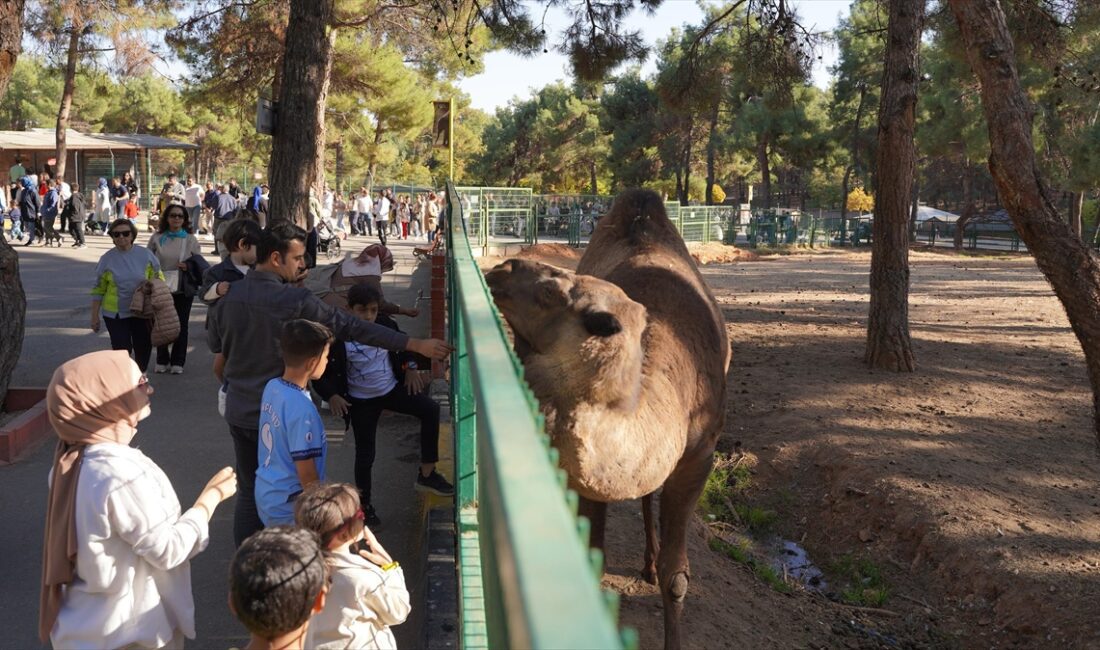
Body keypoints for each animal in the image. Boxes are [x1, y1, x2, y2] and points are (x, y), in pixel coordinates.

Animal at [484, 188, 730, 650]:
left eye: (551, 290)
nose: (502, 268)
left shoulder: (700, 455)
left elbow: (676, 577)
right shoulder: (589, 481)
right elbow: (594, 562)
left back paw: (649, 564)